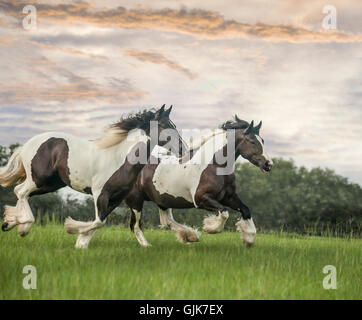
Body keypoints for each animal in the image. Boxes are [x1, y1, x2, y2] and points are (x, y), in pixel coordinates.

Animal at [0, 104, 185, 248]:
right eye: (163, 125)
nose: (183, 148)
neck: (120, 158)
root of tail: (26, 145)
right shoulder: (100, 193)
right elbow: (98, 221)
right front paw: (72, 229)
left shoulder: (117, 197)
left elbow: (100, 221)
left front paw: (81, 243)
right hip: (39, 179)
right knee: (20, 191)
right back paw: (23, 226)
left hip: (51, 184)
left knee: (21, 192)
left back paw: (10, 223)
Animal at [124, 116, 272, 246]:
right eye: (252, 141)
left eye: (263, 141)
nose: (268, 164)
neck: (214, 165)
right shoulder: (201, 199)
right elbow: (224, 213)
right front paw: (209, 228)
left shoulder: (228, 197)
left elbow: (246, 210)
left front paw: (249, 239)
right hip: (136, 199)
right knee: (135, 225)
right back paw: (147, 245)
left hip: (163, 199)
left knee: (166, 220)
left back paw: (190, 236)